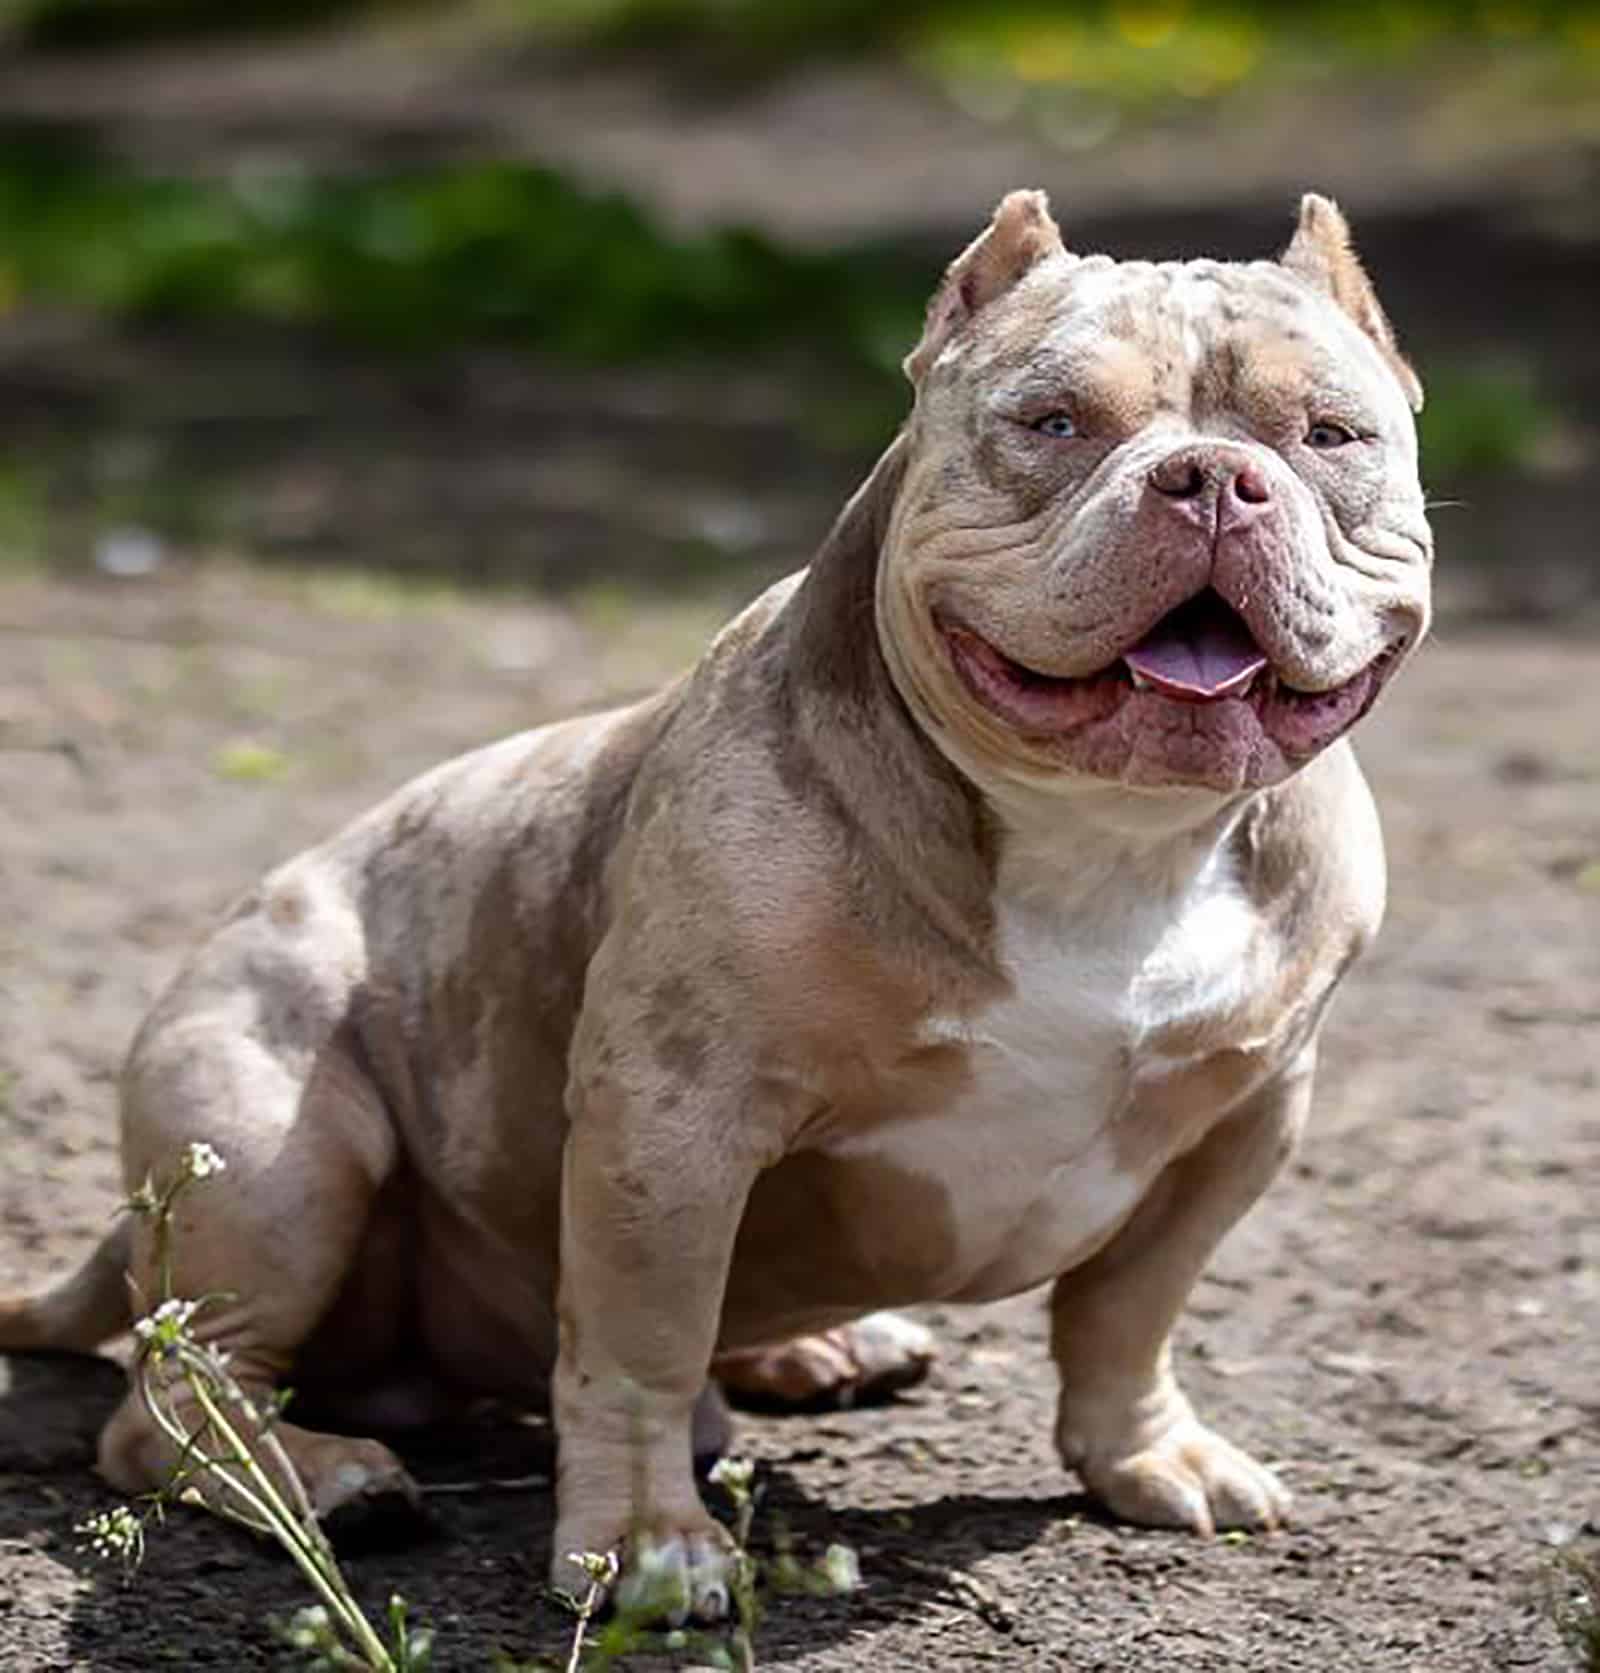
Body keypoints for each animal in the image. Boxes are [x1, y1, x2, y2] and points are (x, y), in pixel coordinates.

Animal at [0, 186, 1425, 1619]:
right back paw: (319, 1475)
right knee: (174, 1386)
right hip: (274, 1148)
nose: (1213, 477)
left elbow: (1131, 1310)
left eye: (1330, 436)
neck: (1112, 834)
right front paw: (644, 1545)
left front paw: (1147, 1455)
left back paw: (818, 1349)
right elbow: (643, 1336)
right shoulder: (673, 1119)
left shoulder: (1240, 1119)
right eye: (1054, 422)